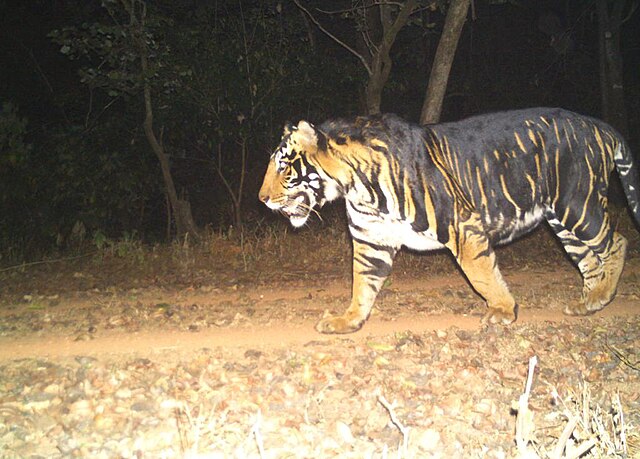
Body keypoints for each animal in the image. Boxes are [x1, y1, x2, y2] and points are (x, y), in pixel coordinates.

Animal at [258, 109, 636, 336]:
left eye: (283, 166)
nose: (261, 199)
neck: (358, 188)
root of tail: (596, 123)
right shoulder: (371, 240)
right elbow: (362, 284)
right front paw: (347, 320)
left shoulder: (463, 227)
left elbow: (483, 276)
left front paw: (502, 311)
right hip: (562, 222)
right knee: (589, 260)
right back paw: (589, 303)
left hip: (577, 205)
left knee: (616, 243)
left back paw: (603, 294)